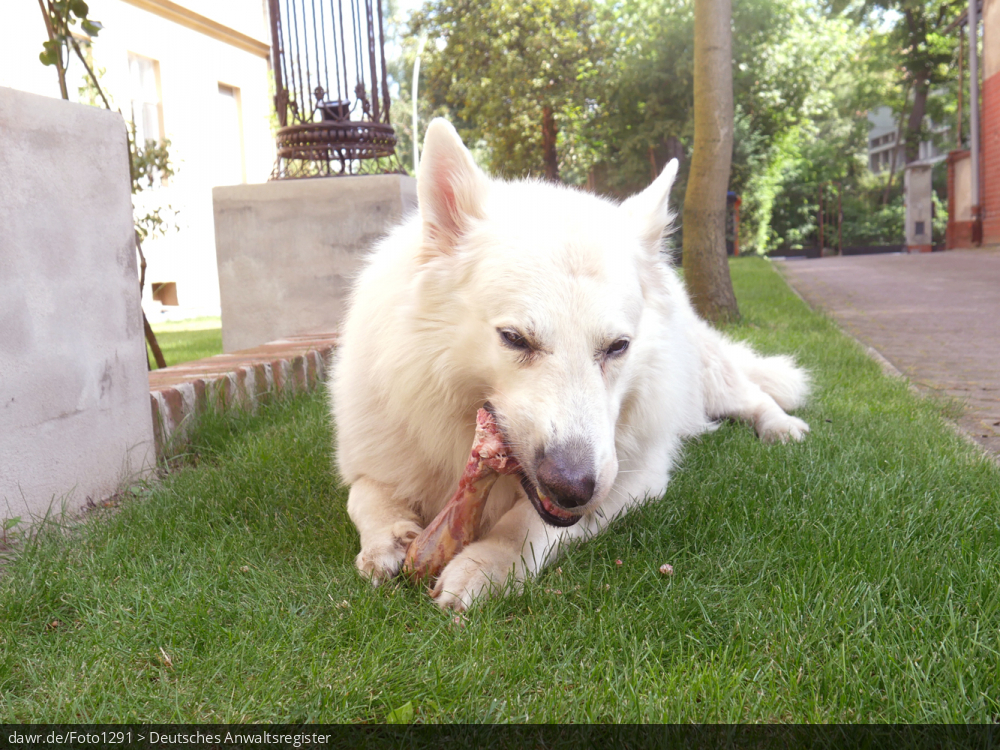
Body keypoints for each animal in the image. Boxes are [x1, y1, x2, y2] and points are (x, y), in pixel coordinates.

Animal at [332, 117, 808, 612]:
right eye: (514, 339)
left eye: (618, 346)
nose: (573, 487)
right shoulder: (374, 460)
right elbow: (363, 496)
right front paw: (386, 539)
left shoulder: (631, 482)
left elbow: (526, 524)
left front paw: (486, 563)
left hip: (710, 378)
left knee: (752, 394)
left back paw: (781, 426)